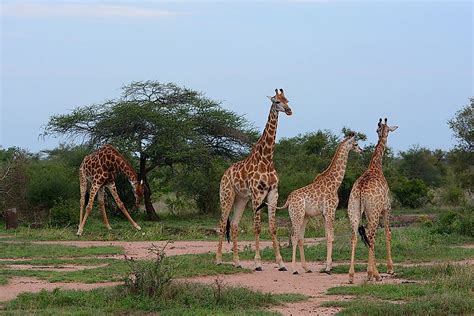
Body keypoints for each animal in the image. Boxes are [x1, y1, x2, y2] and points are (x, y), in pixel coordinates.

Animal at [216, 89, 292, 272]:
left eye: (287, 99)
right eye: (277, 101)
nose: (289, 110)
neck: (267, 159)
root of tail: (224, 174)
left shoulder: (273, 193)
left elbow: (272, 227)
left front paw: (281, 263)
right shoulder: (257, 194)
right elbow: (257, 228)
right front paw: (258, 263)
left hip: (241, 198)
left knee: (234, 225)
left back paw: (237, 262)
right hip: (226, 196)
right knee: (222, 224)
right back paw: (218, 259)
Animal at [274, 133, 362, 274]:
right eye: (355, 144)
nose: (361, 150)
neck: (335, 183)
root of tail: (288, 199)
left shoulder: (325, 214)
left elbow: (327, 236)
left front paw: (327, 266)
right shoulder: (331, 210)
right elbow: (331, 237)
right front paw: (328, 268)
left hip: (304, 216)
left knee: (300, 237)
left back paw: (306, 268)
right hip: (297, 215)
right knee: (294, 237)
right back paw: (294, 269)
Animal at [346, 117, 398, 282]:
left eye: (379, 129)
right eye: (388, 129)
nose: (383, 134)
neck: (376, 167)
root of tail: (361, 191)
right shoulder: (386, 208)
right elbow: (388, 233)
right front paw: (389, 268)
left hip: (353, 211)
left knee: (355, 236)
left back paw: (351, 275)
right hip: (373, 212)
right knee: (371, 236)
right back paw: (374, 274)